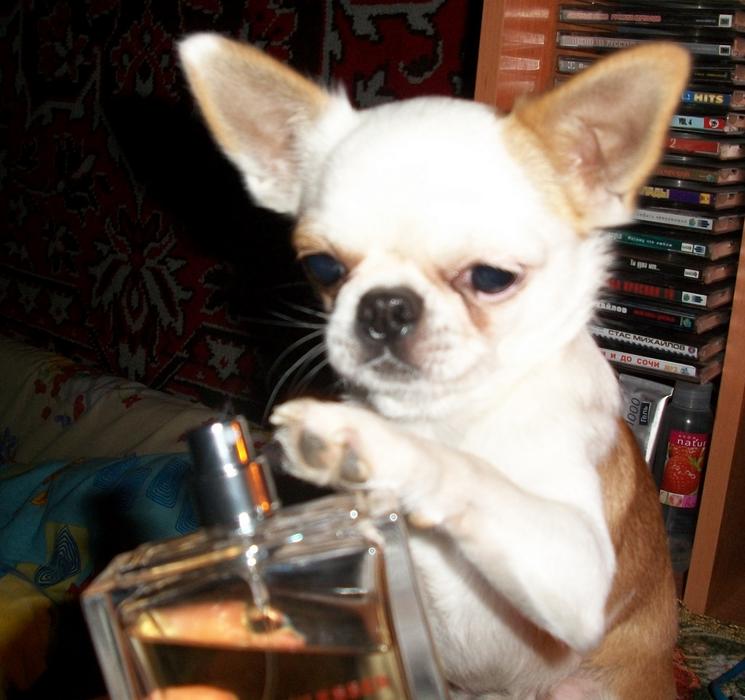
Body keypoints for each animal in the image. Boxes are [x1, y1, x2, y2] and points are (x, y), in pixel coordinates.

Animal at [179, 34, 690, 699]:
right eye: (322, 268)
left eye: (492, 278)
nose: (386, 306)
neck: (448, 416)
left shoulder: (577, 572)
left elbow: (475, 475)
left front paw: (370, 445)